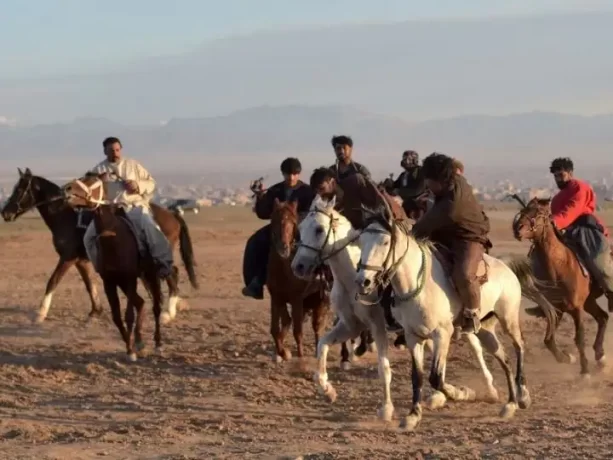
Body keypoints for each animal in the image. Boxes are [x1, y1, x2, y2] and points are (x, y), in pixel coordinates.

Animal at [0, 168, 196, 324]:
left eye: (19, 189)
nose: (5, 213)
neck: (66, 217)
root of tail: (172, 215)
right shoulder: (80, 260)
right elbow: (89, 284)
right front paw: (96, 311)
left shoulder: (67, 257)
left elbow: (53, 281)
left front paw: (40, 314)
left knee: (172, 273)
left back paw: (168, 313)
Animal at [290, 194, 394, 420]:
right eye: (300, 227)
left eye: (319, 229)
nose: (298, 267)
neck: (353, 277)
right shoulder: (350, 325)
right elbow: (323, 345)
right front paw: (328, 390)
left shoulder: (378, 327)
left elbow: (383, 368)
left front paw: (387, 409)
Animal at [354, 208, 540, 432]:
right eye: (361, 240)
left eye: (384, 241)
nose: (363, 281)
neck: (418, 284)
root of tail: (507, 268)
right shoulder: (413, 336)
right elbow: (417, 376)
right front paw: (413, 415)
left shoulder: (442, 334)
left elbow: (436, 378)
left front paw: (461, 393)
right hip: (485, 330)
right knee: (504, 358)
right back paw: (510, 404)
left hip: (508, 319)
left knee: (519, 346)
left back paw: (523, 395)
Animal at [512, 196, 608, 376]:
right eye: (524, 210)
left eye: (539, 213)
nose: (517, 229)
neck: (559, 267)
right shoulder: (555, 309)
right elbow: (548, 340)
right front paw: (567, 358)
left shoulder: (576, 309)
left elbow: (579, 338)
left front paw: (585, 371)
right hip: (589, 301)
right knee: (603, 317)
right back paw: (601, 357)